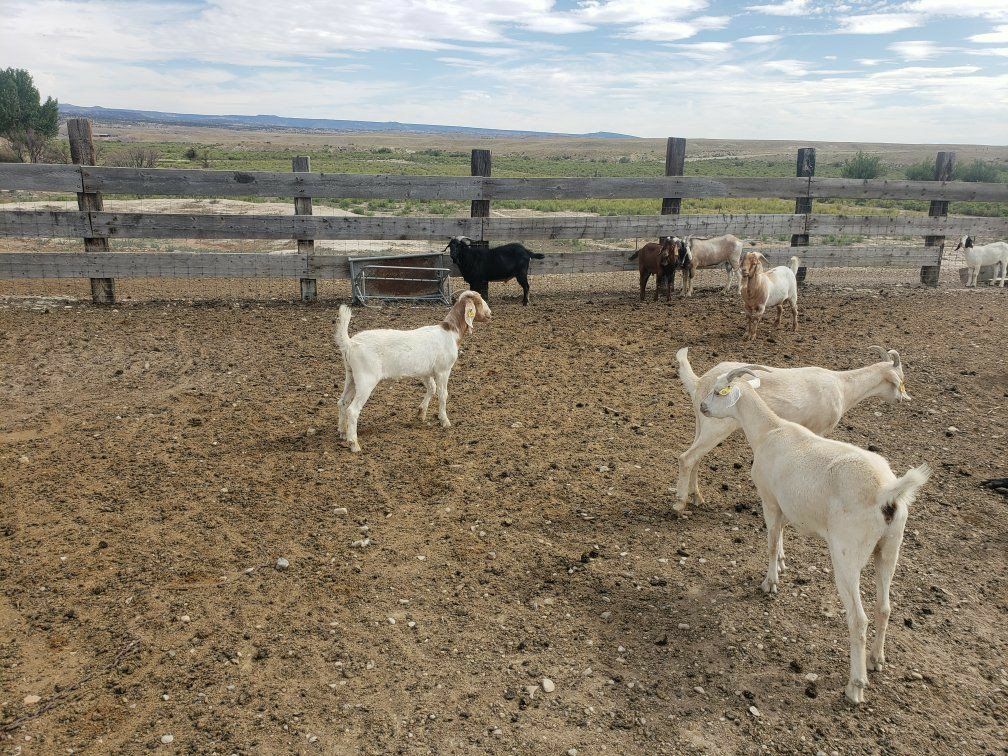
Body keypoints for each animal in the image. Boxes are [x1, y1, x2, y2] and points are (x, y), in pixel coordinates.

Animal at [334, 290, 491, 453]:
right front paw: (444, 421)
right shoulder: (443, 370)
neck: (451, 332)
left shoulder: (426, 372)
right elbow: (443, 394)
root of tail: (349, 343)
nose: (490, 314)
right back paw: (354, 443)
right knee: (352, 410)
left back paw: (342, 432)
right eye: (479, 302)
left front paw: (421, 413)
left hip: (351, 375)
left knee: (342, 402)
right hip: (366, 378)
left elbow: (431, 388)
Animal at [675, 346, 909, 513]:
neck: (842, 387)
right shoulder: (819, 429)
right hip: (716, 427)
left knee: (696, 458)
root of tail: (699, 382)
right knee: (687, 458)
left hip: (702, 424)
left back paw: (697, 498)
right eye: (901, 379)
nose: (903, 398)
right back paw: (680, 504)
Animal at [698, 365, 930, 704]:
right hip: (890, 547)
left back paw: (855, 686)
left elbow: (771, 542)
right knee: (884, 607)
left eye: (718, 392)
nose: (703, 407)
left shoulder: (769, 499)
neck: (770, 430)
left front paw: (770, 582)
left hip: (847, 554)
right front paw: (783, 564)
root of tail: (887, 493)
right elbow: (781, 536)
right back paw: (876, 659)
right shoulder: (786, 504)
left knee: (858, 619)